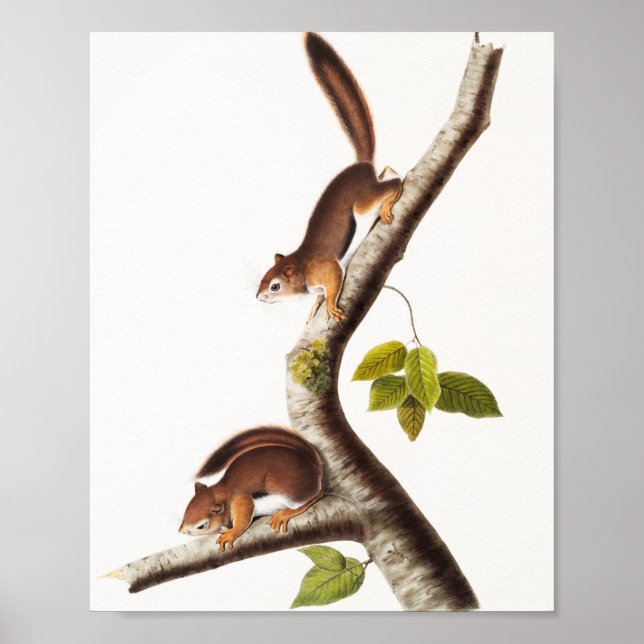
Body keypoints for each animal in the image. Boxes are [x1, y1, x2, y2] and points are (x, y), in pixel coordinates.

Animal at [179, 426, 323, 551]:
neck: (223, 492)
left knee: (316, 496)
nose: (181, 531)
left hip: (288, 490)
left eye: (202, 526)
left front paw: (231, 534)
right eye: (186, 512)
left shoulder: (241, 499)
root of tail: (315, 470)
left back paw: (285, 514)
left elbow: (243, 520)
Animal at [256, 32, 403, 322]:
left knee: (395, 183)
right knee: (388, 172)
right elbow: (319, 296)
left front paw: (331, 306)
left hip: (362, 203)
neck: (300, 265)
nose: (258, 297)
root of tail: (361, 165)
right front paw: (315, 305)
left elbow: (334, 280)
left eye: (275, 286)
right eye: (263, 278)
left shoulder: (324, 269)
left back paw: (391, 199)